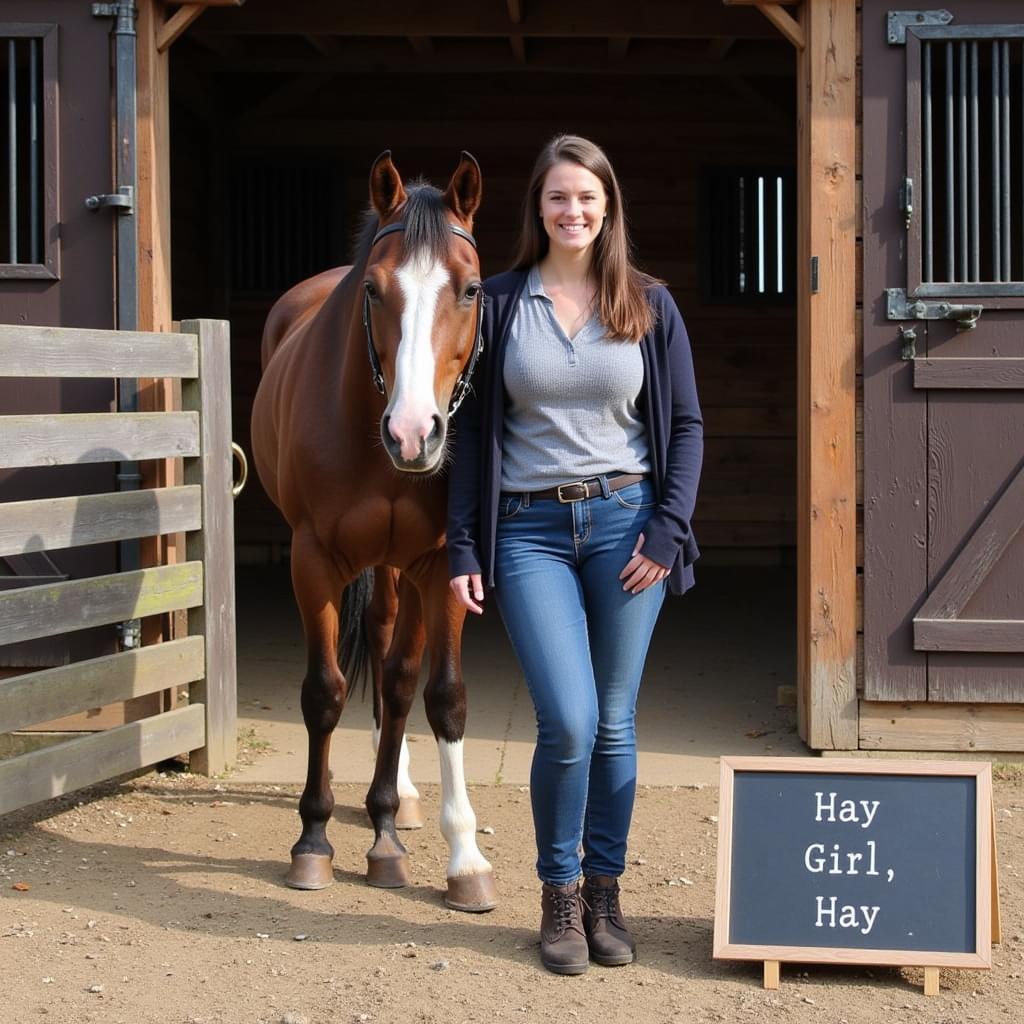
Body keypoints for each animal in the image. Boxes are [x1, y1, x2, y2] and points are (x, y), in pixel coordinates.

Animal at [251, 153, 499, 913]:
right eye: (373, 289)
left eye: (471, 289)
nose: (413, 433)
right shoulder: (313, 560)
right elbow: (325, 692)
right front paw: (313, 840)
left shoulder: (441, 562)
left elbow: (434, 692)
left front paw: (452, 855)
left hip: (398, 568)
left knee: (395, 665)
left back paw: (403, 799)